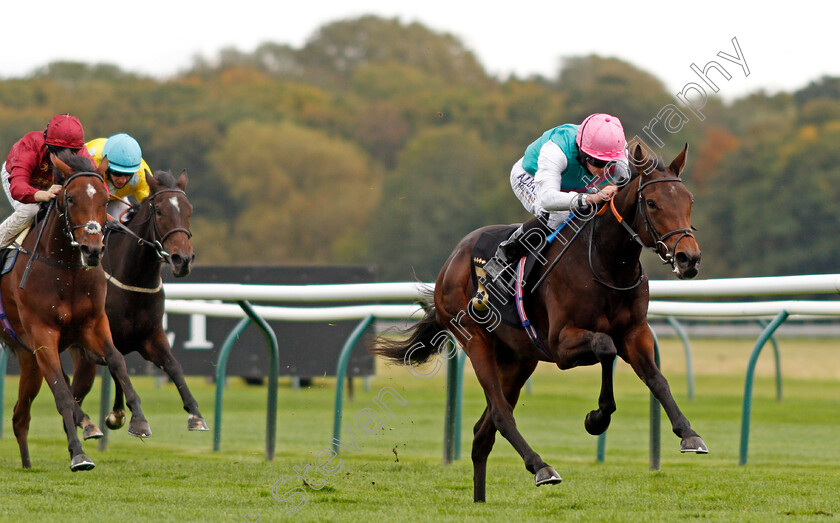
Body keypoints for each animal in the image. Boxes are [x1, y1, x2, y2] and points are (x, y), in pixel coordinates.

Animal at [0, 150, 151, 470]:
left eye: (105, 200)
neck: (65, 270)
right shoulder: (43, 333)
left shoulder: (93, 323)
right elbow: (61, 392)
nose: (92, 250)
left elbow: (117, 360)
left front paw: (138, 421)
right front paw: (78, 454)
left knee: (20, 416)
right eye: (70, 199)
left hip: (27, 357)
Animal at [68, 171, 206, 434]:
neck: (133, 281)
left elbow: (174, 366)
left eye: (189, 210)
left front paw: (195, 414)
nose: (182, 259)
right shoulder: (96, 343)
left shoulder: (150, 336)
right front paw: (133, 417)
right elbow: (117, 365)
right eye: (159, 211)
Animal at [370, 144, 704, 504]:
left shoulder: (635, 332)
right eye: (652, 203)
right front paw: (597, 418)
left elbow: (656, 379)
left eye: (689, 200)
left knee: (482, 432)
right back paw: (541, 467)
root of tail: (450, 263)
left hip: (518, 360)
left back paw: (480, 500)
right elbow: (605, 346)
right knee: (500, 413)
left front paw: (688, 433)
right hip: (475, 339)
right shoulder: (560, 345)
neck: (606, 264)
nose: (688, 258)